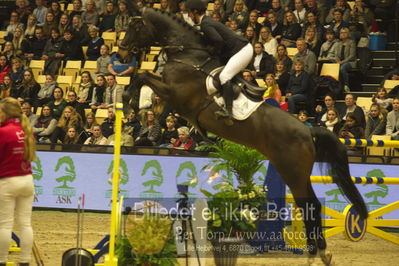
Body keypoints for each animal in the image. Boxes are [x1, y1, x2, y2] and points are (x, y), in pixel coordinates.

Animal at [122, 7, 368, 264]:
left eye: (135, 27)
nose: (121, 53)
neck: (187, 55)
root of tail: (307, 129)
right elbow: (143, 76)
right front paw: (130, 102)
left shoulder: (174, 94)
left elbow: (141, 76)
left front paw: (129, 103)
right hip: (294, 171)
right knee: (312, 205)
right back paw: (320, 252)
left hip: (292, 171)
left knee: (308, 204)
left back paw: (315, 252)